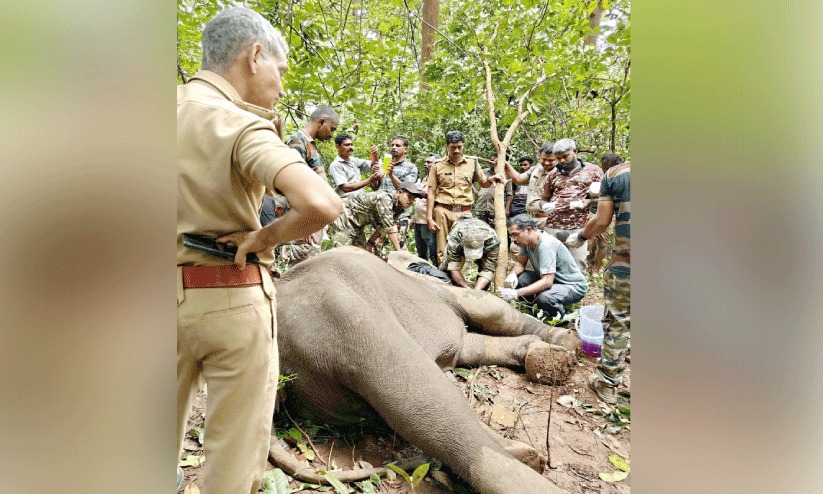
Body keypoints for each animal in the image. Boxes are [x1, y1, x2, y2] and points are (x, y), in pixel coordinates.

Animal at [270, 247, 580, 494]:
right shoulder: (436, 291)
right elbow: (492, 310)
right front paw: (565, 344)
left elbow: (471, 345)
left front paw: (550, 356)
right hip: (349, 318)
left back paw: (525, 453)